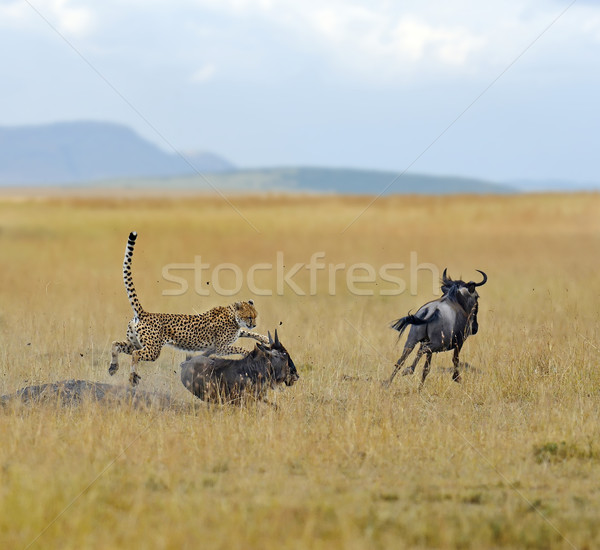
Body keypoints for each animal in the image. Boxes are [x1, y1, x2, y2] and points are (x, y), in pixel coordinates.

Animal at [109, 233, 268, 388]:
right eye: (249, 317)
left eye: (255, 316)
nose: (254, 324)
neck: (233, 316)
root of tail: (144, 313)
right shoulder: (221, 347)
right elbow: (239, 348)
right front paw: (249, 352)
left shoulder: (225, 341)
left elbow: (246, 332)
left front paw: (264, 338)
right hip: (152, 350)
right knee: (135, 354)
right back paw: (132, 377)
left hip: (135, 342)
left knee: (116, 344)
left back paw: (113, 367)